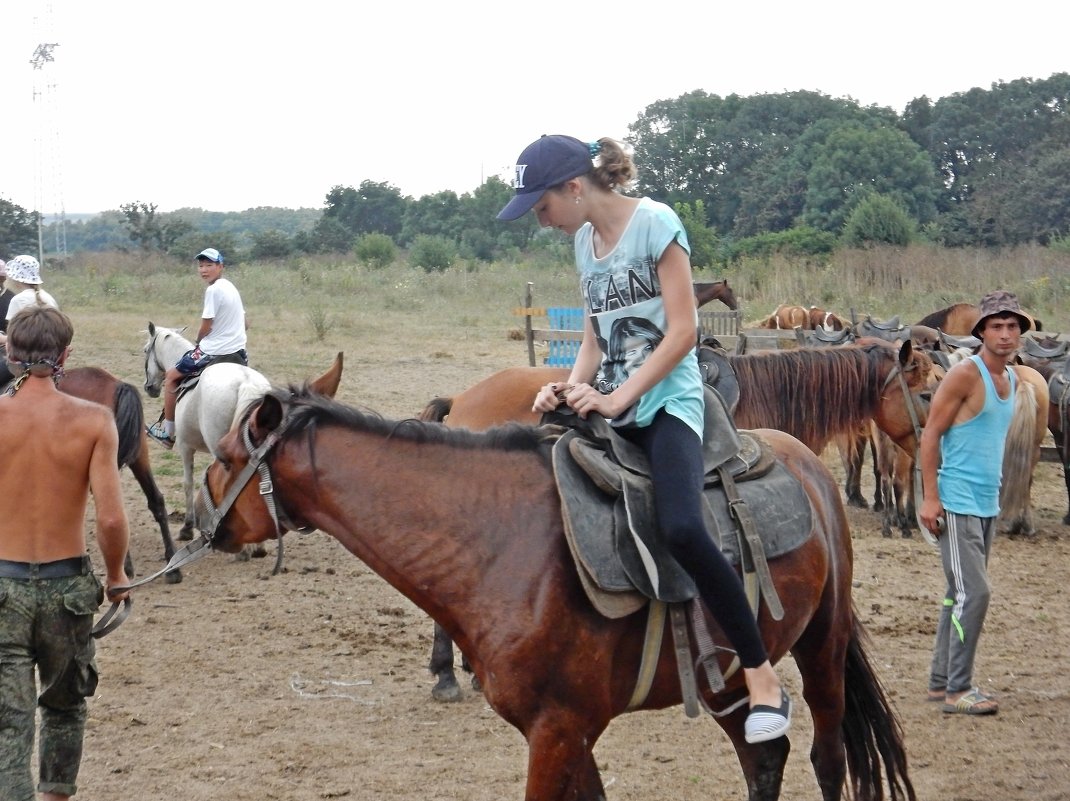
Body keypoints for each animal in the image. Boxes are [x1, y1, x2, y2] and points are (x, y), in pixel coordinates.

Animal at [141, 320, 342, 547]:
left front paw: (186, 528)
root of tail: (246, 383)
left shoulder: (185, 446)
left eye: (146, 350)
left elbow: (188, 483)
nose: (149, 388)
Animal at [202, 391, 920, 799]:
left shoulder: (555, 730)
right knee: (764, 757)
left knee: (826, 759)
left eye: (227, 457)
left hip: (821, 648)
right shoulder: (567, 732)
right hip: (731, 678)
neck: (499, 541)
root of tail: (806, 462)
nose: (204, 526)